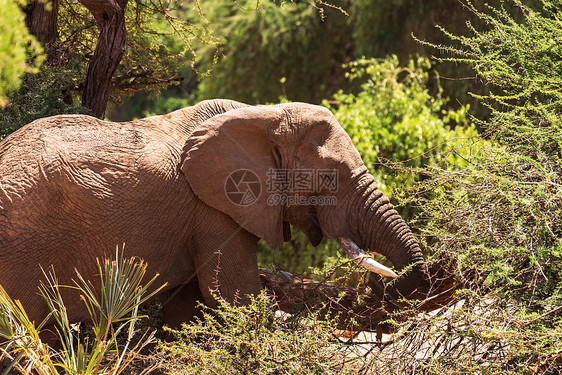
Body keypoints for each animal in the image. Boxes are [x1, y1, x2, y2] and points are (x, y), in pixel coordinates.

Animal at [0, 100, 422, 328]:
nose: (378, 281)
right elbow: (235, 297)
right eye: (330, 177)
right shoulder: (212, 212)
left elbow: (189, 309)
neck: (263, 115)